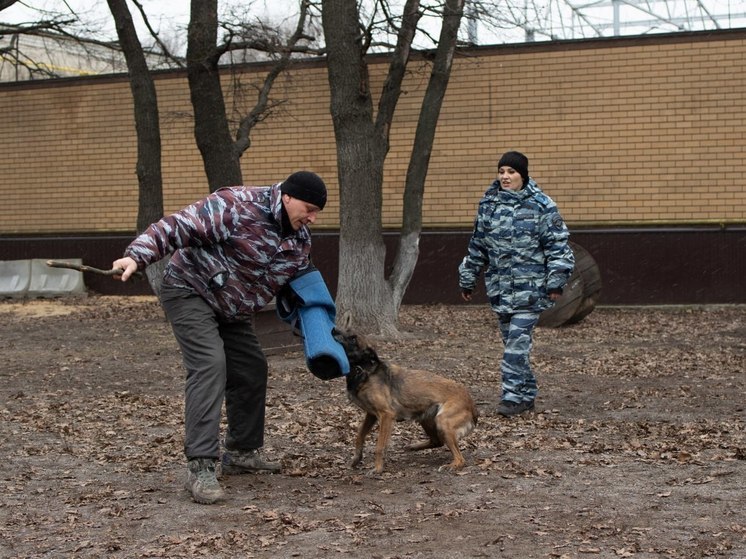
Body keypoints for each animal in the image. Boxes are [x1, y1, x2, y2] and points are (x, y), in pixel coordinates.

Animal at [332, 330, 476, 474]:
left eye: (353, 338)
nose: (333, 330)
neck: (364, 370)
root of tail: (471, 403)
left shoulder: (386, 414)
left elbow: (379, 447)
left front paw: (378, 468)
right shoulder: (371, 415)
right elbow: (359, 436)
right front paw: (356, 459)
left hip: (442, 421)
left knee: (460, 458)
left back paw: (451, 465)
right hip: (426, 418)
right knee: (437, 441)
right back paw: (414, 446)